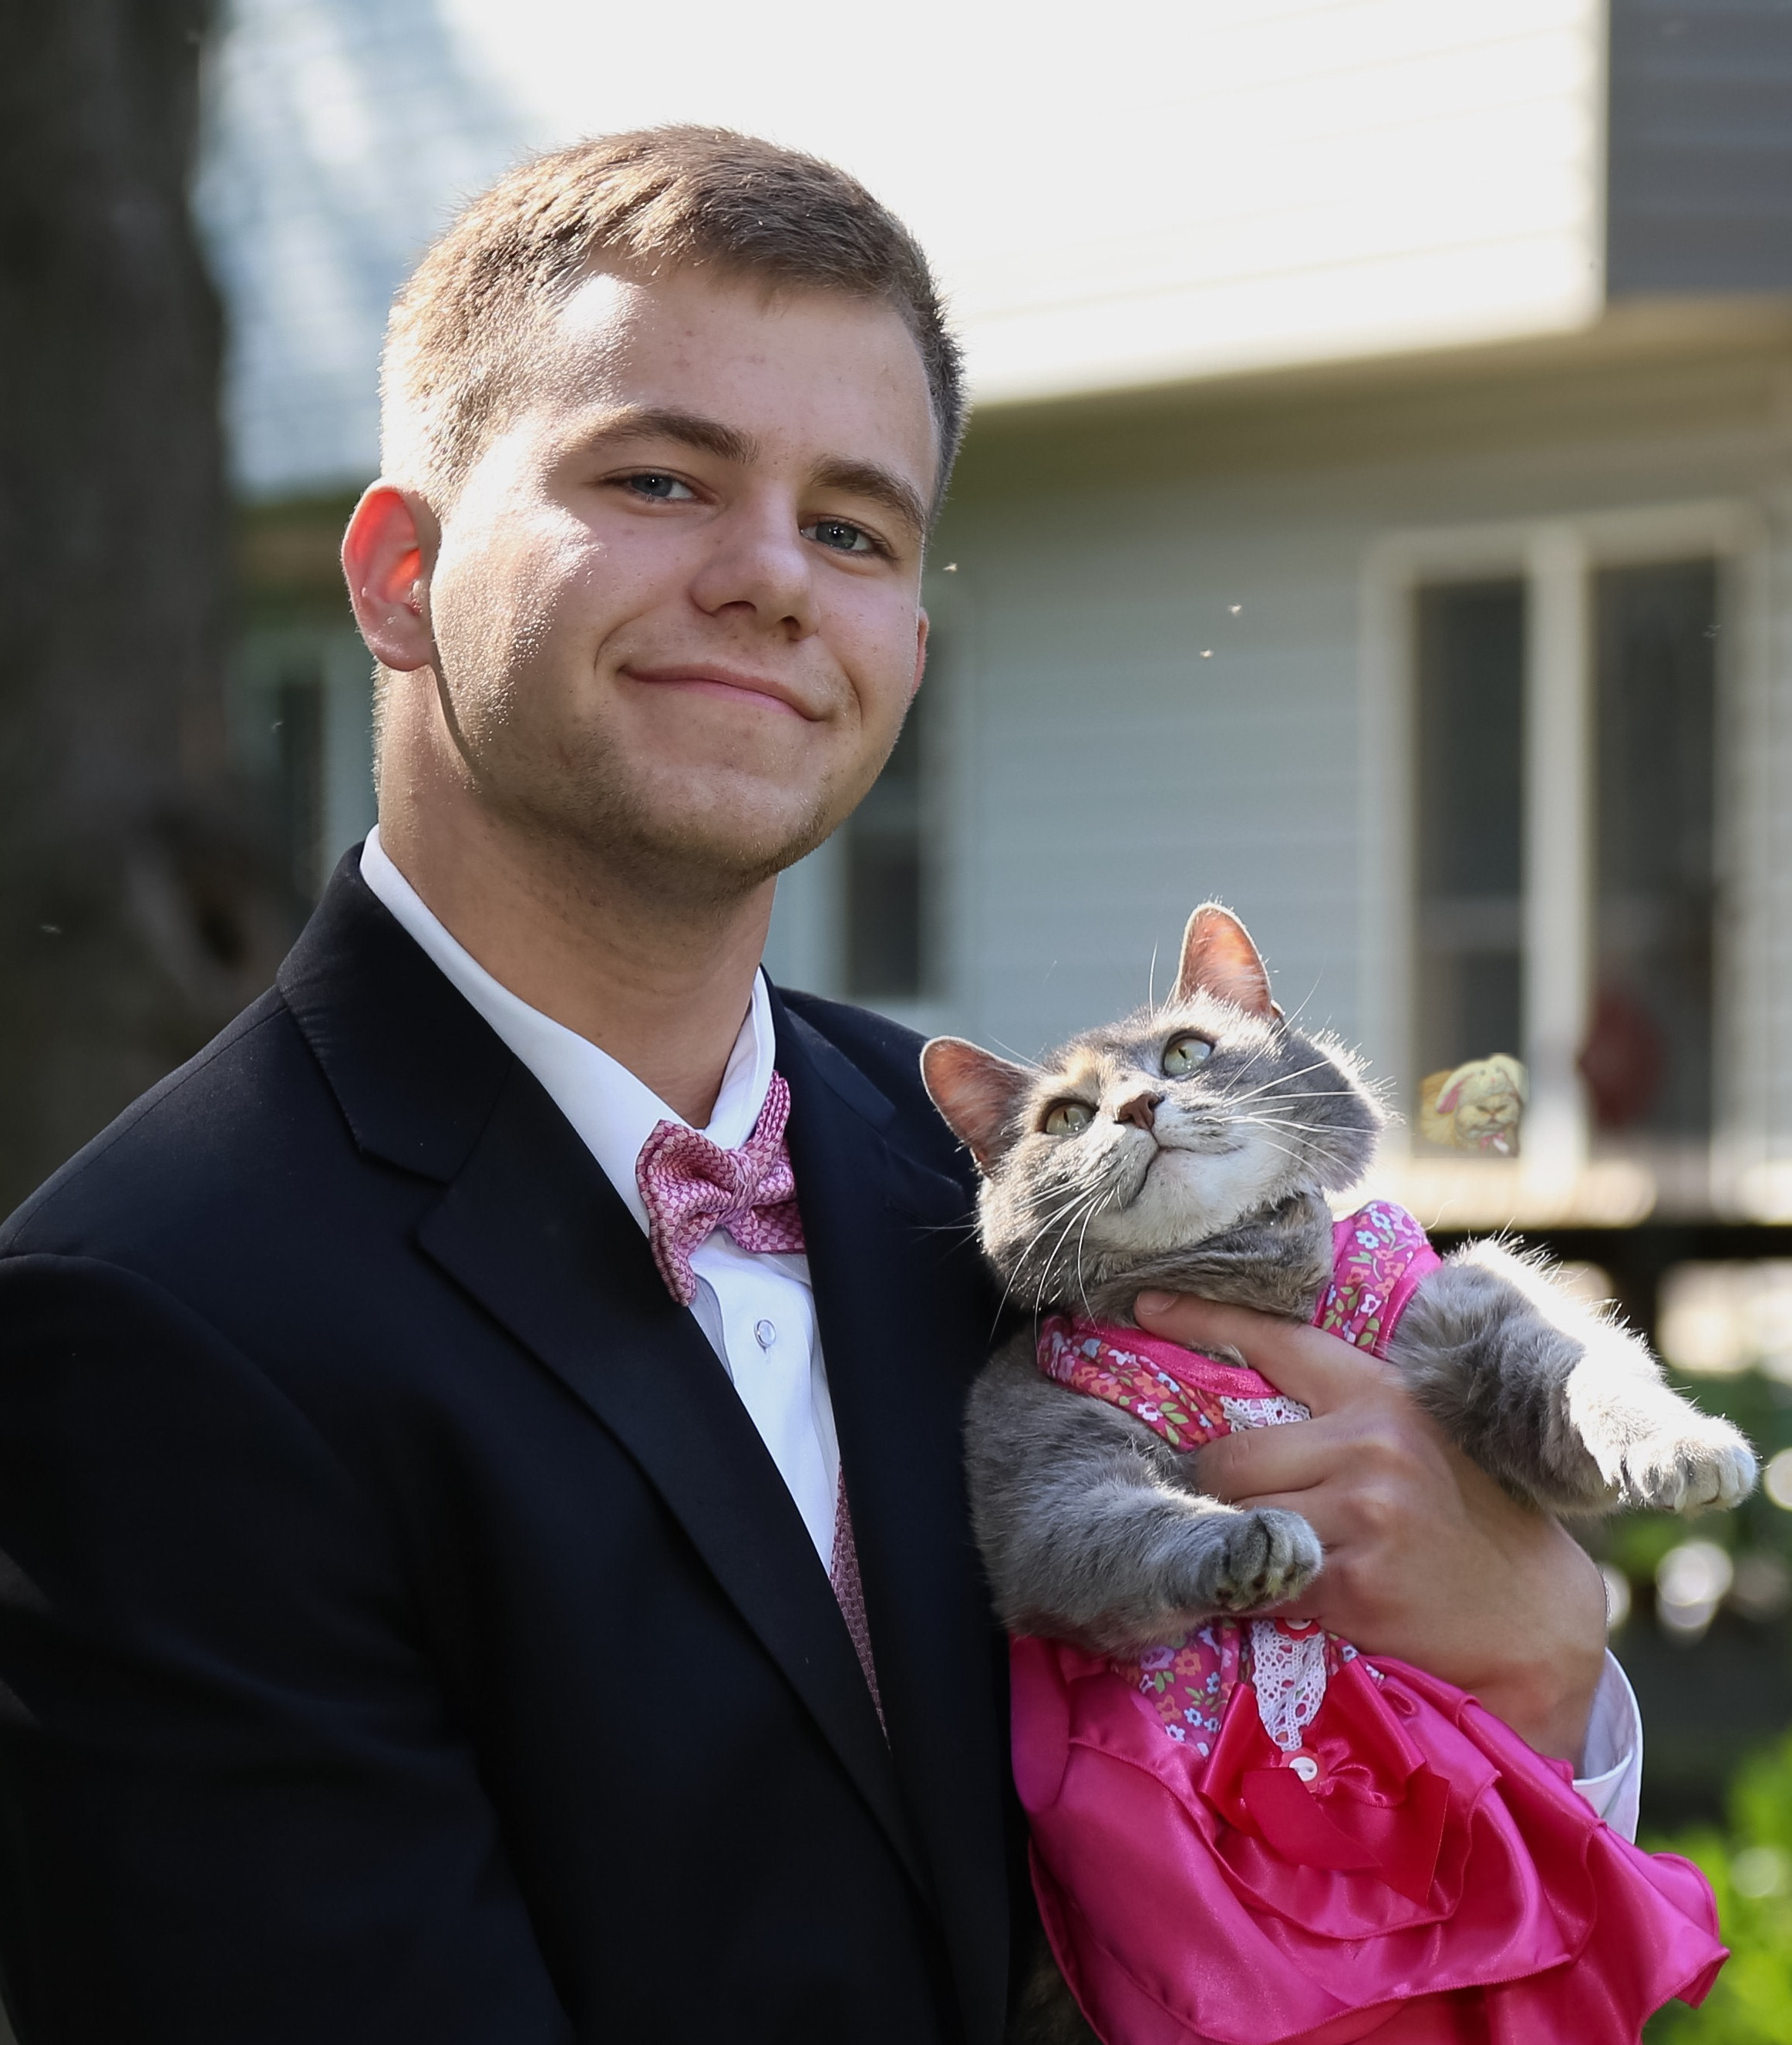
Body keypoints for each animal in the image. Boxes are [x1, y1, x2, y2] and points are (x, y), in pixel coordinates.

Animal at [925, 904, 1750, 2037]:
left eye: (1186, 1053)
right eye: (1066, 1116)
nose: (1136, 1106)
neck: (1243, 1296)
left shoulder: (1455, 1306)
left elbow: (1580, 1366)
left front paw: (1684, 1444)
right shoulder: (1040, 1483)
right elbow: (1122, 1525)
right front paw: (1251, 1538)